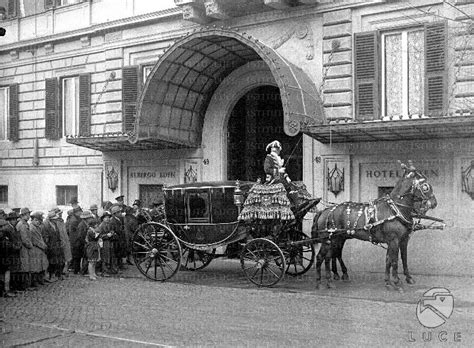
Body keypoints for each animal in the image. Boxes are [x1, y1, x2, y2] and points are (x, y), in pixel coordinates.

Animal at [312, 162, 436, 290]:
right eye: (425, 186)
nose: (434, 203)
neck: (395, 209)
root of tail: (324, 211)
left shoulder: (402, 240)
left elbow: (397, 259)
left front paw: (392, 281)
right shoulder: (394, 240)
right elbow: (395, 260)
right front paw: (396, 282)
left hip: (336, 239)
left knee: (329, 256)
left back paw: (330, 280)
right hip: (328, 239)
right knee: (320, 257)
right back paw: (320, 282)